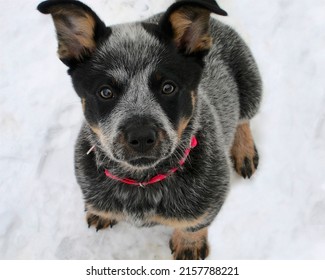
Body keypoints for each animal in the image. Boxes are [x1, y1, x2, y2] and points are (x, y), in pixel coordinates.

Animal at [37, 0, 260, 260]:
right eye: (105, 92)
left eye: (168, 87)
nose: (141, 137)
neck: (142, 183)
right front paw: (99, 212)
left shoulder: (210, 199)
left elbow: (194, 224)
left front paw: (189, 245)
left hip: (251, 83)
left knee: (243, 119)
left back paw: (244, 151)